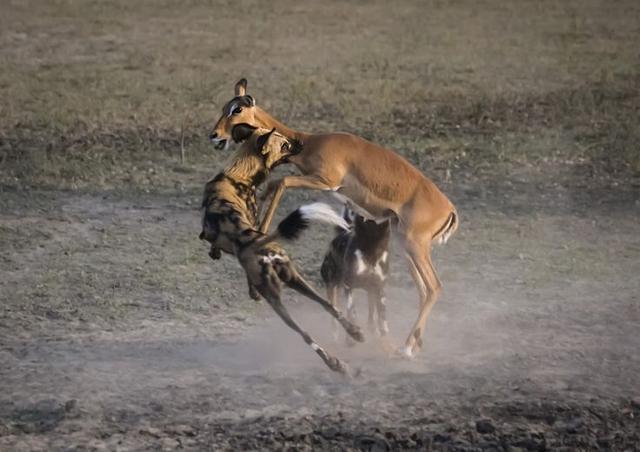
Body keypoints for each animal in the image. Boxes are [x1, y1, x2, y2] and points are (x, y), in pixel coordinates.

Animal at [200, 124, 364, 374]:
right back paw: (353, 336)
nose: (301, 144)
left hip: (276, 300)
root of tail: (260, 244)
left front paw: (216, 255)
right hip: (296, 278)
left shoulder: (214, 233)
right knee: (328, 305)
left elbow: (211, 243)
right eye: (285, 145)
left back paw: (333, 363)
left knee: (305, 334)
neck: (238, 175)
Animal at [320, 207, 390, 340]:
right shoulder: (348, 286)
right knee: (335, 313)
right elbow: (352, 313)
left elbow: (382, 321)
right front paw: (351, 339)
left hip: (371, 292)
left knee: (371, 316)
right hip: (332, 287)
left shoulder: (380, 289)